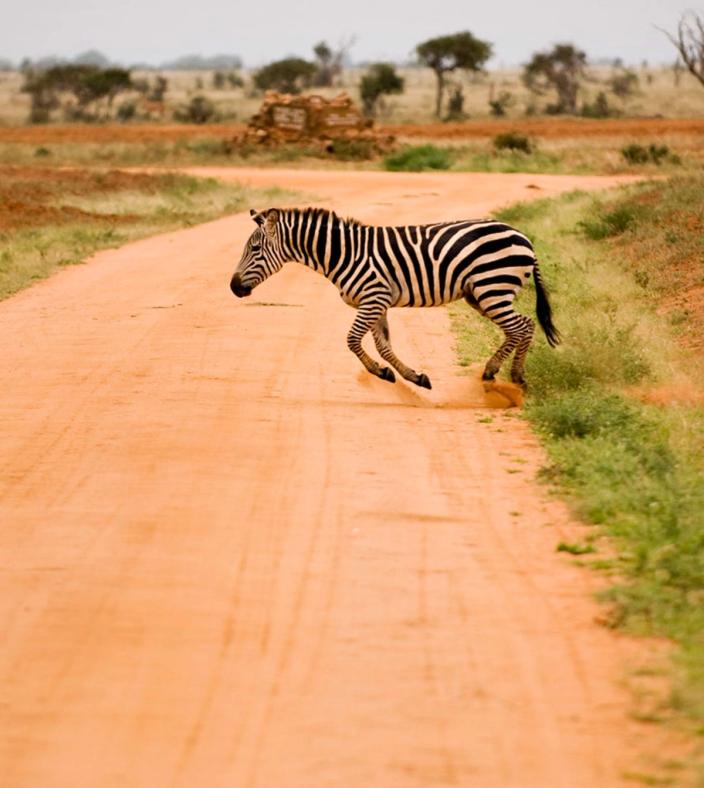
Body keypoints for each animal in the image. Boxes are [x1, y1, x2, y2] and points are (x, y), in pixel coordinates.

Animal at [230, 207, 560, 389]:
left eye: (255, 249)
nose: (233, 287)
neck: (343, 254)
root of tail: (523, 236)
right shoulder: (377, 303)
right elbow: (384, 346)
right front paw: (410, 376)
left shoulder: (373, 298)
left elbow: (352, 340)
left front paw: (380, 372)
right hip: (481, 294)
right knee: (522, 326)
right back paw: (502, 372)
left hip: (492, 287)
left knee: (522, 326)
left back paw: (509, 374)